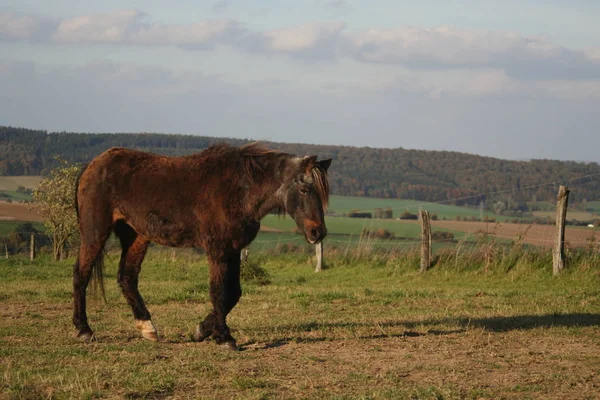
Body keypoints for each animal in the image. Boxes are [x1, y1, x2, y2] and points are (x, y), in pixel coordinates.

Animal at [73, 142, 332, 348]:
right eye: (304, 189)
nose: (318, 232)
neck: (241, 189)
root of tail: (92, 165)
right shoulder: (218, 251)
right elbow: (219, 292)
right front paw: (224, 337)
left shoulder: (233, 250)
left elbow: (233, 294)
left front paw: (202, 330)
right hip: (95, 233)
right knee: (81, 274)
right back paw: (84, 330)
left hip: (136, 236)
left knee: (127, 277)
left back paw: (148, 328)